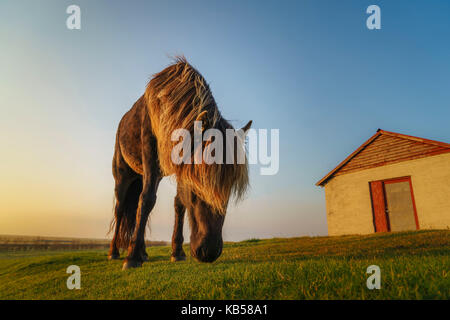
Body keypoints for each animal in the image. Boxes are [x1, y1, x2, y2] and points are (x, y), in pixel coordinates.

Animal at [107, 56, 251, 268]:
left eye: (231, 186)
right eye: (199, 183)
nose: (209, 252)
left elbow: (178, 204)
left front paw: (177, 252)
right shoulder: (150, 154)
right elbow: (146, 199)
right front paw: (131, 258)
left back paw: (143, 252)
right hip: (122, 177)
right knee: (121, 209)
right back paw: (115, 252)